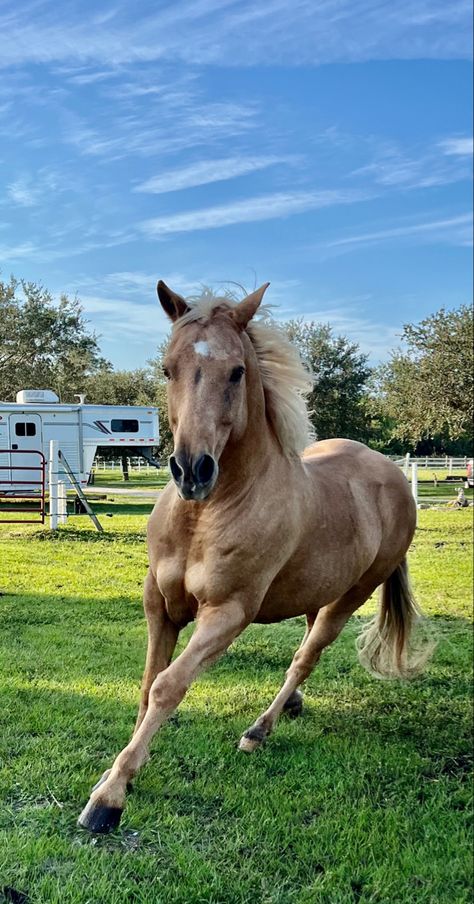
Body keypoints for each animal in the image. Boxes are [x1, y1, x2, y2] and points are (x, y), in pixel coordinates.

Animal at [80, 280, 430, 832]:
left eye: (237, 371)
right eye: (168, 368)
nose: (192, 470)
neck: (204, 516)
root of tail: (393, 477)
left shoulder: (227, 614)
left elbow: (167, 686)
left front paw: (109, 797)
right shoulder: (160, 606)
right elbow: (147, 683)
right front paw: (123, 772)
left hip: (351, 596)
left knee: (305, 657)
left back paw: (260, 729)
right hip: (317, 590)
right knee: (304, 642)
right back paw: (290, 709)